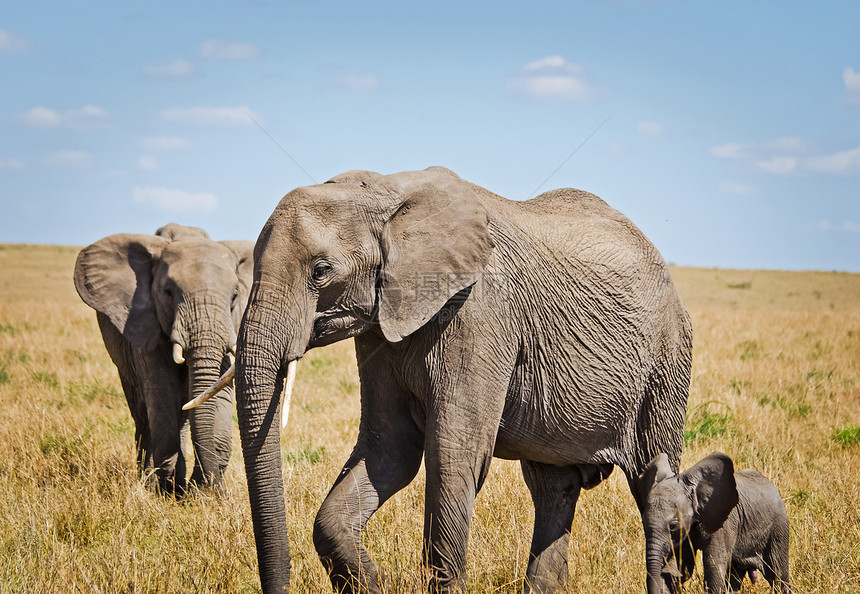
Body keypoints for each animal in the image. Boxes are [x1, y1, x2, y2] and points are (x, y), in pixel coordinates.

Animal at [74, 222, 252, 494]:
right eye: (168, 292)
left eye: (234, 296)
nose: (214, 489)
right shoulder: (145, 322)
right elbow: (161, 392)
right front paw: (167, 491)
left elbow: (218, 390)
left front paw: (202, 494)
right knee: (143, 414)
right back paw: (150, 481)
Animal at [205, 169, 688, 588]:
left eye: (320, 271)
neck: (388, 194)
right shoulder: (380, 326)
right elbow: (389, 449)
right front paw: (376, 584)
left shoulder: (480, 312)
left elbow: (453, 453)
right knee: (553, 488)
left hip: (666, 363)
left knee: (652, 483)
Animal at [636, 450, 788, 588]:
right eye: (643, 523)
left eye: (673, 525)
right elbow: (677, 567)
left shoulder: (724, 521)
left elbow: (714, 565)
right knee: (735, 577)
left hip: (778, 529)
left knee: (778, 575)